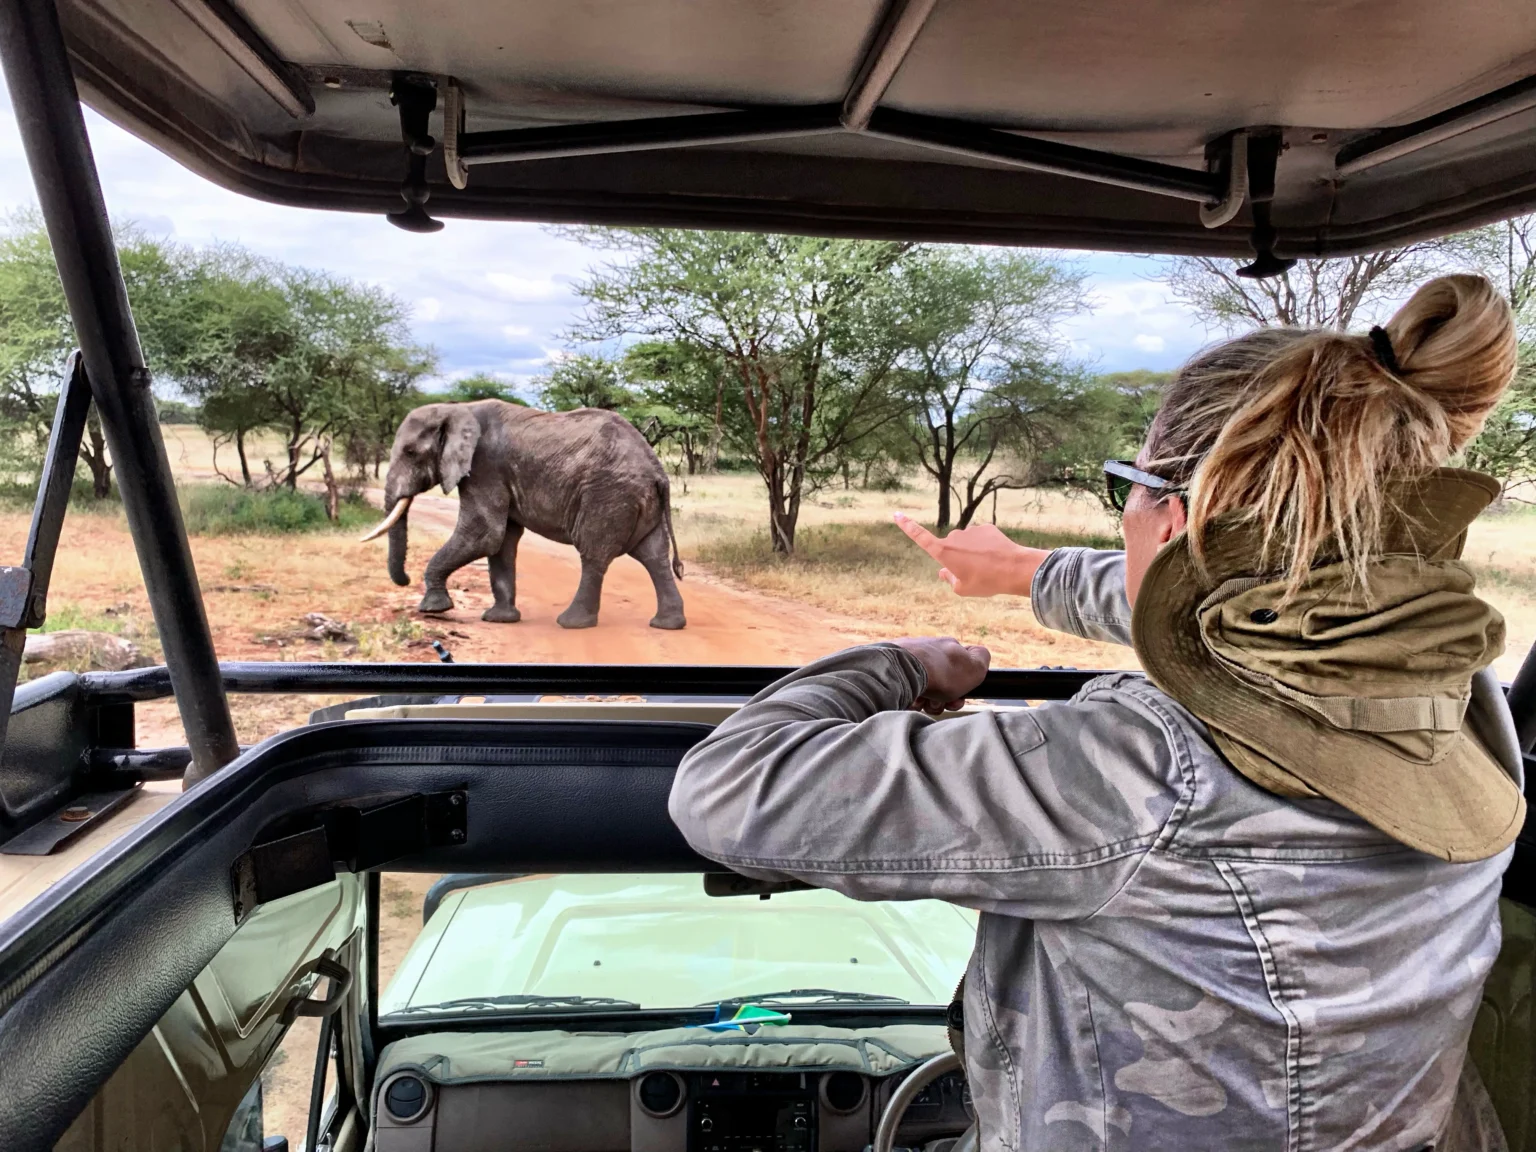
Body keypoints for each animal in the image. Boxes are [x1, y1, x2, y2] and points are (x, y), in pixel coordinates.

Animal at [361, 400, 686, 629]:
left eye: (410, 452)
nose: (404, 579)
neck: (456, 408)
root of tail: (658, 471)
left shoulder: (485, 467)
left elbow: (483, 533)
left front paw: (433, 608)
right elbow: (503, 539)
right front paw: (499, 619)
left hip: (608, 495)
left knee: (595, 554)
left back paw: (571, 624)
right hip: (637, 499)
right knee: (653, 555)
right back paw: (667, 625)